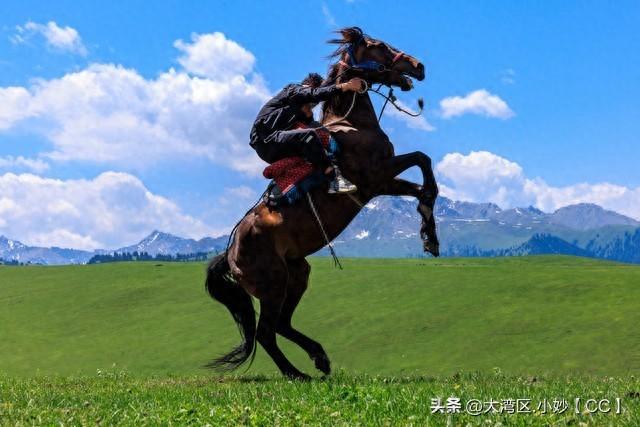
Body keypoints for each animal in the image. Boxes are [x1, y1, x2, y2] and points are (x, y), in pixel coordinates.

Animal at [205, 27, 439, 380]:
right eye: (378, 46)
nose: (419, 65)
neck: (352, 125)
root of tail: (229, 255)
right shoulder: (377, 179)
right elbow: (422, 162)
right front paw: (428, 231)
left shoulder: (383, 180)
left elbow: (424, 180)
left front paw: (430, 235)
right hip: (274, 284)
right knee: (266, 332)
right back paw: (297, 374)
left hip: (298, 274)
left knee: (282, 325)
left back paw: (320, 358)